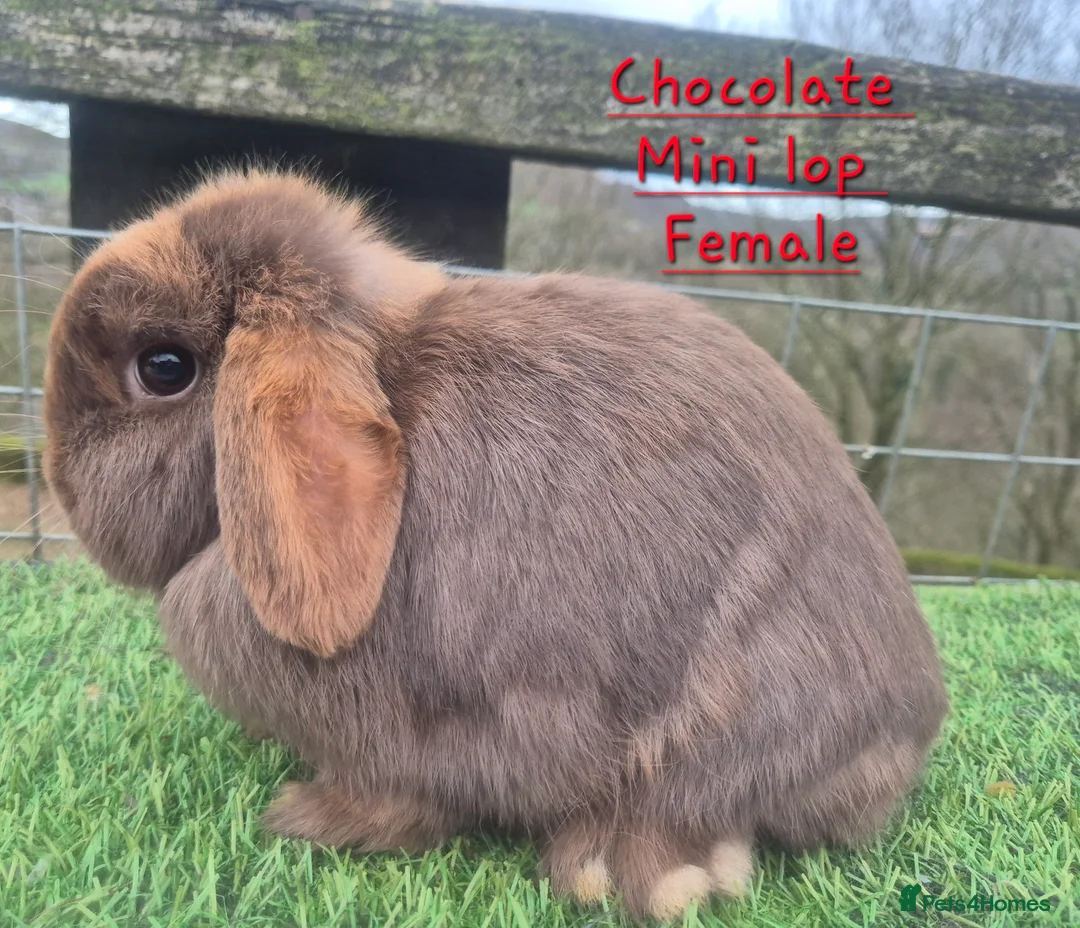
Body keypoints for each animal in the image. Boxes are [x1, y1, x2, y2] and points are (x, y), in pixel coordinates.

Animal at [43, 167, 949, 921]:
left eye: (163, 368)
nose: (57, 479)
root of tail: (906, 729)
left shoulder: (407, 741)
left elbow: (400, 801)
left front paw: (304, 819)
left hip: (713, 727)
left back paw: (614, 872)